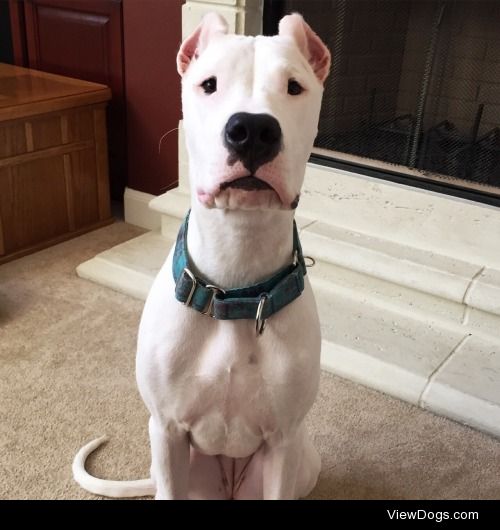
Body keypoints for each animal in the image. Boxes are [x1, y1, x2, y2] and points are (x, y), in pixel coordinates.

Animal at [72, 12, 330, 500]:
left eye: (295, 86)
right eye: (208, 84)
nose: (253, 130)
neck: (235, 288)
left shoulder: (284, 442)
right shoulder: (168, 430)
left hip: (304, 461)